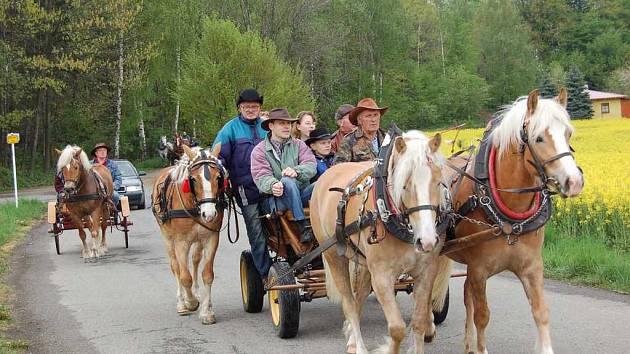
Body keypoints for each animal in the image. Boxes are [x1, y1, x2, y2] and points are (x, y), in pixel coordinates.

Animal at [152, 144, 228, 324]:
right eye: (193, 179)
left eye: (218, 177)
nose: (209, 214)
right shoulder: (181, 242)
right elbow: (184, 276)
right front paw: (191, 302)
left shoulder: (211, 238)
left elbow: (207, 274)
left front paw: (207, 311)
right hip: (168, 238)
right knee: (176, 267)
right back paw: (182, 302)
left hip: (198, 240)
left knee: (194, 260)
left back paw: (198, 293)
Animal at [312, 130, 450, 354]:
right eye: (405, 185)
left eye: (438, 183)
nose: (427, 241)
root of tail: (328, 173)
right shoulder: (382, 276)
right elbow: (397, 328)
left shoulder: (427, 271)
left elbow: (419, 321)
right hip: (334, 256)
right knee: (349, 303)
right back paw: (358, 346)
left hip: (364, 262)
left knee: (359, 297)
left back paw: (352, 338)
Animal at [434, 88, 588, 354]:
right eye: (538, 138)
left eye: (568, 132)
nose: (574, 181)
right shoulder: (479, 269)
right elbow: (482, 315)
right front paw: (481, 348)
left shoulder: (532, 267)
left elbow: (541, 312)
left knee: (464, 296)